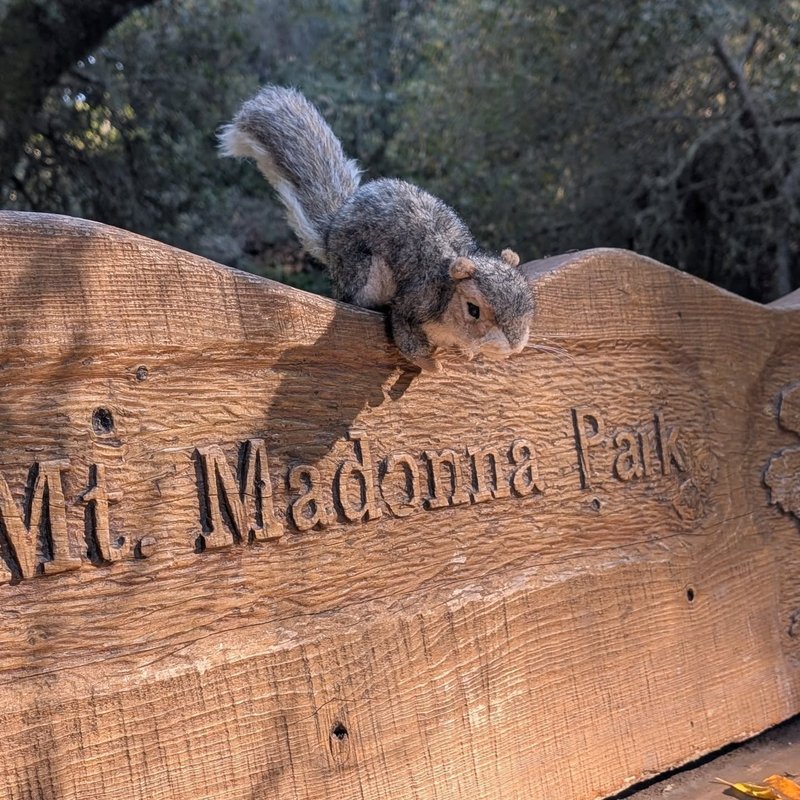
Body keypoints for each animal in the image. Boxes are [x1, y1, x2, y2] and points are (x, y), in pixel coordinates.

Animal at [219, 86, 533, 372]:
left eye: (530, 305)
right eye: (473, 309)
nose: (513, 347)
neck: (446, 290)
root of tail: (333, 231)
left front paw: (467, 352)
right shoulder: (415, 301)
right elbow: (405, 336)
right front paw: (430, 364)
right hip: (363, 273)